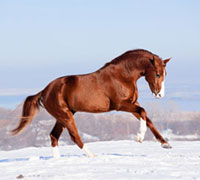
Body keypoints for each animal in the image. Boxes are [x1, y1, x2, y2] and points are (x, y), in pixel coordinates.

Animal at [10, 49, 171, 158]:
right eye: (157, 74)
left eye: (165, 74)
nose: (159, 95)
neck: (122, 76)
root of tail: (44, 91)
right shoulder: (120, 105)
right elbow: (143, 111)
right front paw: (139, 138)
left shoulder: (132, 104)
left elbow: (148, 119)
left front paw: (165, 144)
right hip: (65, 116)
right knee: (74, 137)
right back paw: (92, 156)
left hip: (62, 116)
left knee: (53, 136)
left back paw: (58, 160)